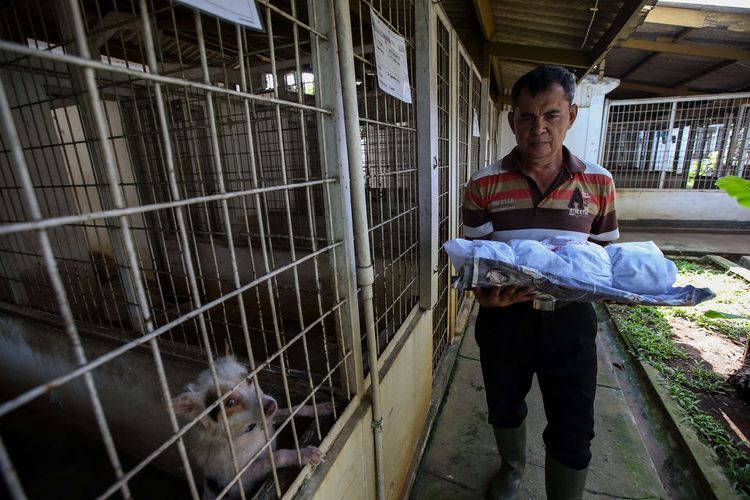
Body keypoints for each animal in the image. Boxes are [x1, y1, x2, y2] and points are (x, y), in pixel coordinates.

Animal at [175, 358, 334, 498]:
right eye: (230, 402)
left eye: (249, 380)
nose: (271, 406)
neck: (247, 430)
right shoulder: (241, 476)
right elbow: (278, 456)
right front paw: (304, 454)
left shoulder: (268, 419)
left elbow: (292, 409)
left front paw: (318, 408)